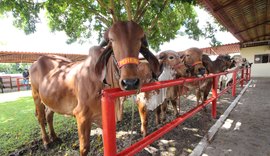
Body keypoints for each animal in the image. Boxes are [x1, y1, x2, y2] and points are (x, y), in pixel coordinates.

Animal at [29, 20, 160, 156]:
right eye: (112, 40)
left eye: (140, 39)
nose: (130, 82)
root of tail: (37, 61)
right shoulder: (81, 115)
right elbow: (84, 148)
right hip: (36, 96)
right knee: (41, 118)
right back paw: (46, 141)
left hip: (51, 100)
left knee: (49, 115)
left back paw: (55, 137)